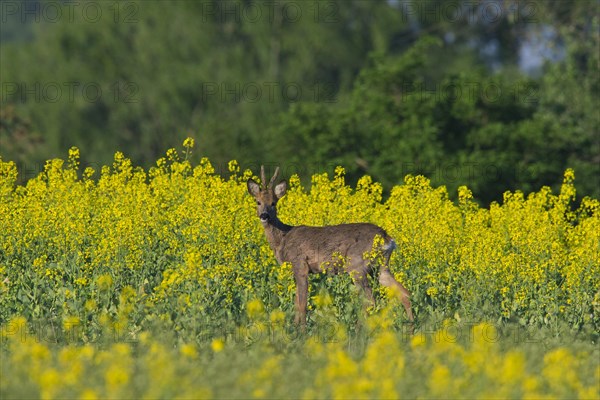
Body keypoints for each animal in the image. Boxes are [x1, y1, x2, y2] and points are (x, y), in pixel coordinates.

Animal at [247, 165, 412, 328]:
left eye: (273, 203)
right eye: (258, 201)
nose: (264, 216)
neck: (283, 239)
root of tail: (386, 238)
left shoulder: (300, 264)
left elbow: (302, 304)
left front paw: (302, 331)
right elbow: (296, 303)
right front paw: (294, 328)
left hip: (357, 265)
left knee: (370, 300)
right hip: (380, 266)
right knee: (404, 292)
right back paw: (410, 327)